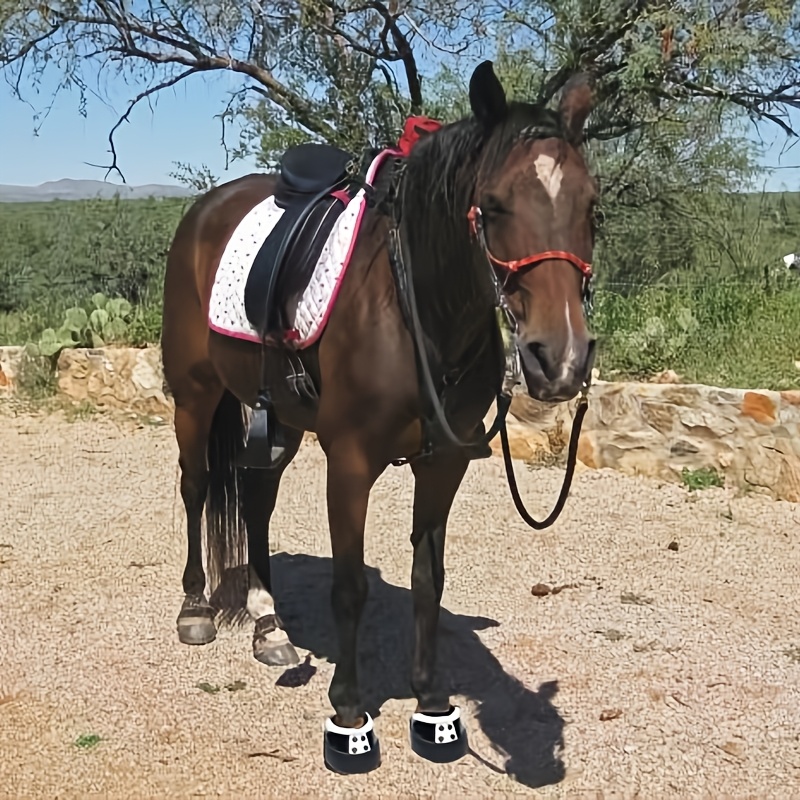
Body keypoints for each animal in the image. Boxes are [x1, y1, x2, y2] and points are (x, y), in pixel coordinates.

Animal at [160, 60, 598, 774]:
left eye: (592, 207)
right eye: (494, 206)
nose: (558, 358)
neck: (415, 308)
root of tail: (205, 210)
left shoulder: (445, 464)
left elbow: (428, 578)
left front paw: (431, 704)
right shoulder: (350, 462)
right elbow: (348, 589)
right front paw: (348, 712)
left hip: (280, 420)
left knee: (255, 499)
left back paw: (267, 621)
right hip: (196, 397)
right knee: (196, 487)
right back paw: (196, 606)